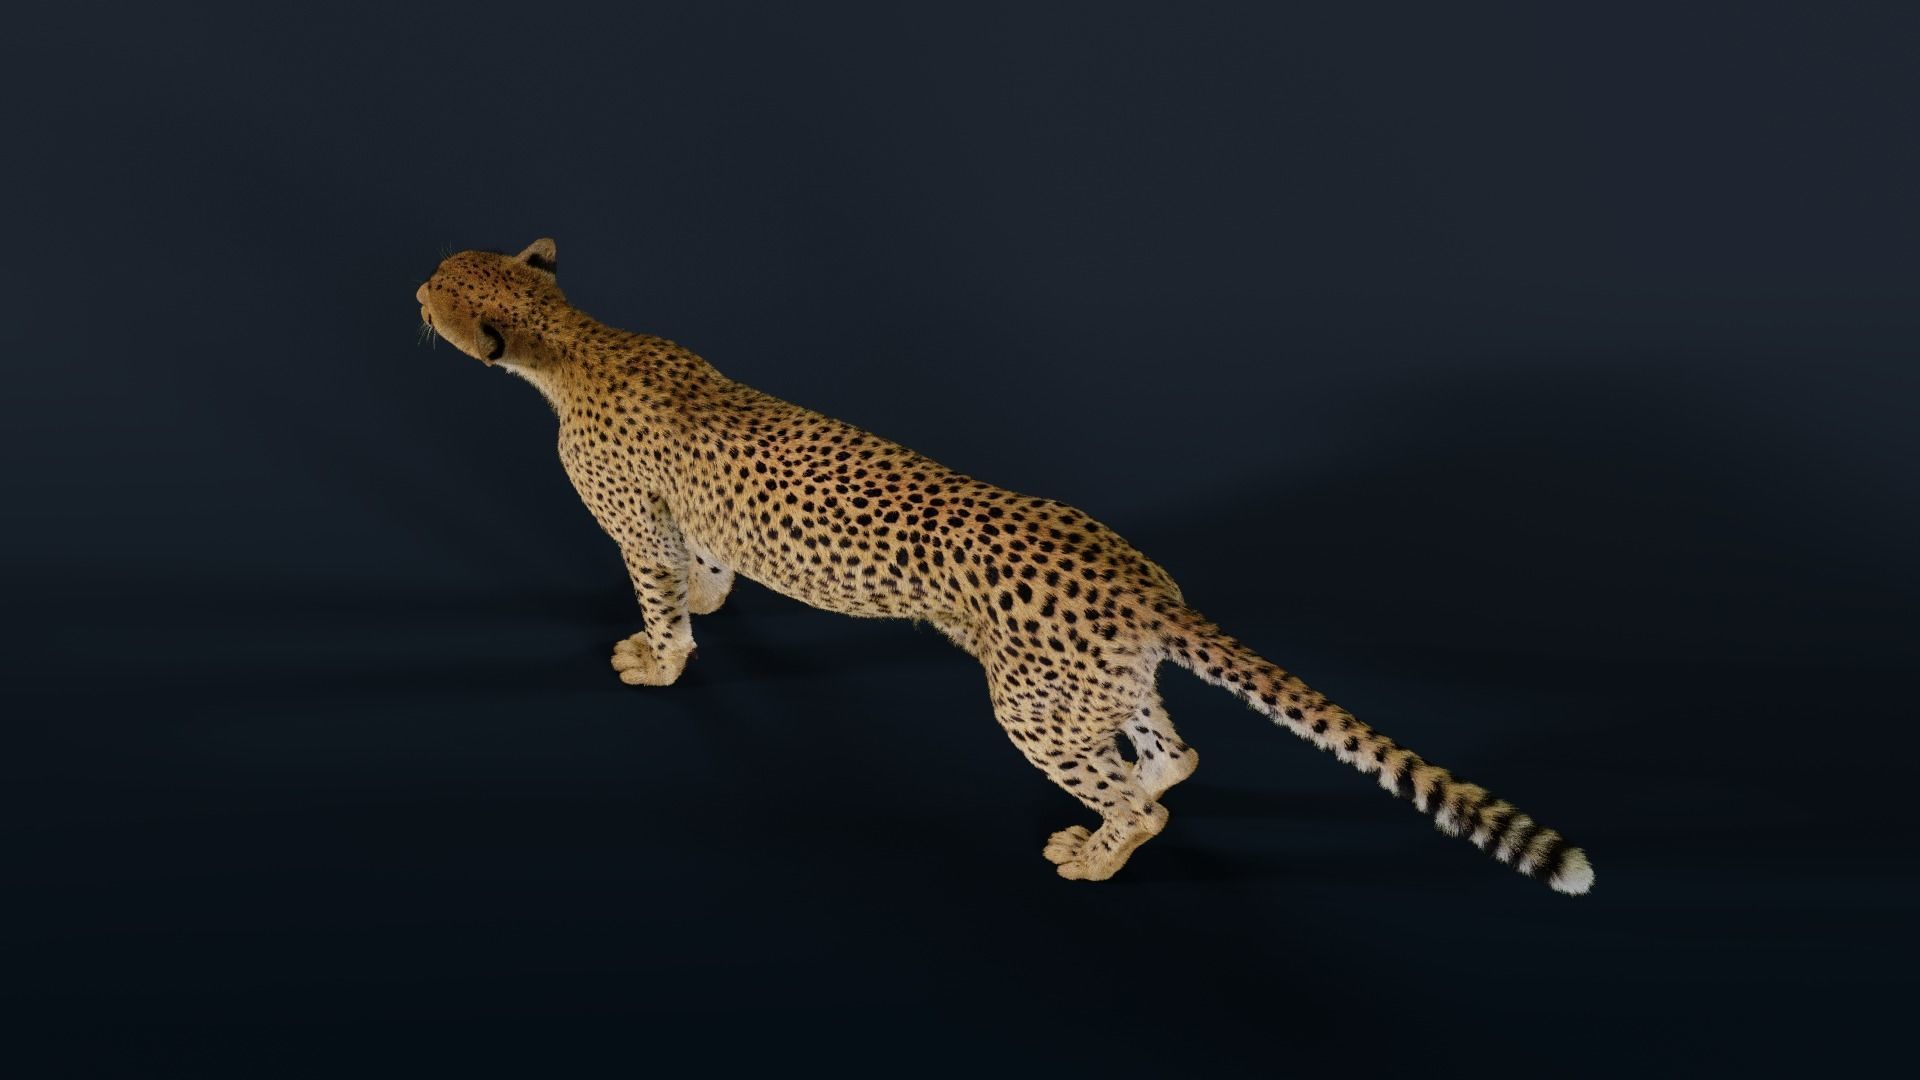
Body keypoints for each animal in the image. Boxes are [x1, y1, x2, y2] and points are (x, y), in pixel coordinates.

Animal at [415, 238, 1595, 894]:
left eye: (435, 284)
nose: (410, 286)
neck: (572, 338)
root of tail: (1135, 577)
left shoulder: (636, 527)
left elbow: (663, 601)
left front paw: (660, 660)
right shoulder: (678, 512)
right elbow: (706, 564)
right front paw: (709, 599)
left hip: (1031, 707)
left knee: (1138, 798)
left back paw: (1097, 851)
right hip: (1097, 688)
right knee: (1173, 756)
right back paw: (1141, 789)